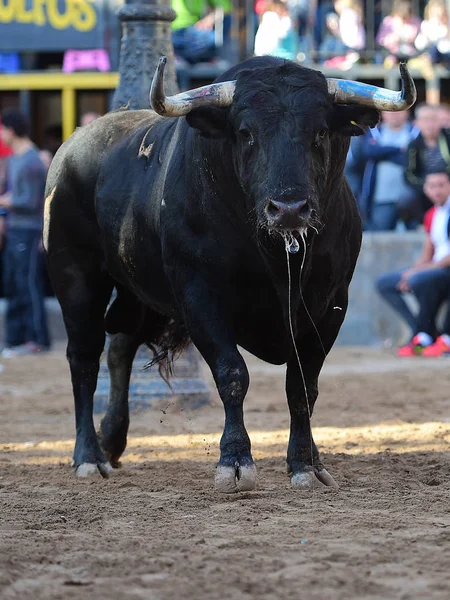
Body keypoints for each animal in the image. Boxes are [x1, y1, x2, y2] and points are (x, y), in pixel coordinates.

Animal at [43, 55, 414, 492]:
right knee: (83, 358)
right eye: (246, 133)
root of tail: (70, 148)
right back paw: (89, 456)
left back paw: (112, 441)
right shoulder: (201, 296)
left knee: (120, 348)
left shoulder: (331, 303)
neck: (276, 257)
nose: (289, 208)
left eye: (321, 131)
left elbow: (302, 387)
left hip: (139, 291)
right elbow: (232, 373)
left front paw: (307, 463)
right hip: (75, 277)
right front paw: (235, 461)